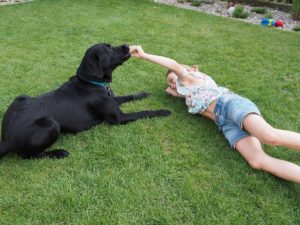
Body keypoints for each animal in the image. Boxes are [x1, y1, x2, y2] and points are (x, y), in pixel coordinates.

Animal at [0, 44, 171, 159]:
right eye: (108, 49)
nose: (127, 45)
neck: (92, 82)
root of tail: (6, 138)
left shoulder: (114, 100)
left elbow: (129, 96)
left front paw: (143, 93)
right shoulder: (118, 118)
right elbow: (144, 112)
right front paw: (163, 111)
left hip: (21, 96)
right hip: (51, 124)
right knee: (30, 156)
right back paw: (59, 152)